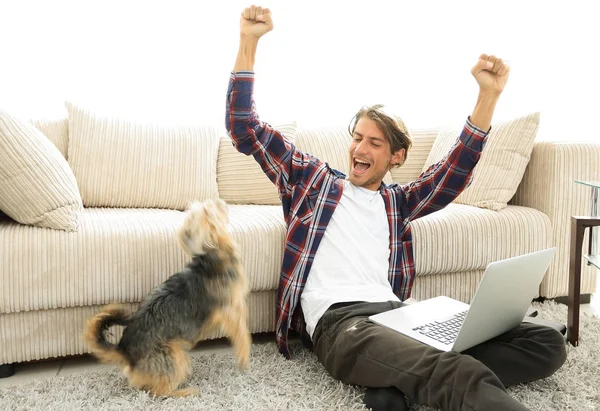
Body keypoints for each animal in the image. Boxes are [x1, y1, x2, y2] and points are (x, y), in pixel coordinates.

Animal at [81, 198, 250, 398]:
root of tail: (125, 351)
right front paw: (245, 359)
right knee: (159, 392)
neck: (210, 255)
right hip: (175, 354)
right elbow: (242, 333)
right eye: (210, 208)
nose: (219, 200)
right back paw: (186, 391)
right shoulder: (231, 310)